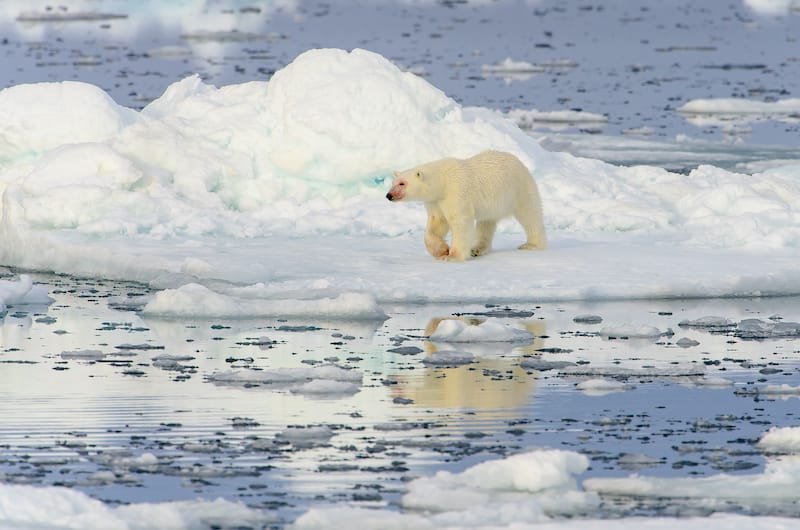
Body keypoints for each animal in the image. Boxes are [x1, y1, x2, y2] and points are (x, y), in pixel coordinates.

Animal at [386, 150, 544, 258]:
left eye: (402, 183)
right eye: (393, 182)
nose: (389, 195)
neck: (442, 181)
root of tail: (520, 162)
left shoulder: (456, 192)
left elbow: (460, 221)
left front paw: (453, 255)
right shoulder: (435, 201)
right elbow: (437, 223)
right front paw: (441, 250)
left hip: (519, 188)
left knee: (530, 214)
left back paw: (532, 244)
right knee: (486, 223)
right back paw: (476, 249)